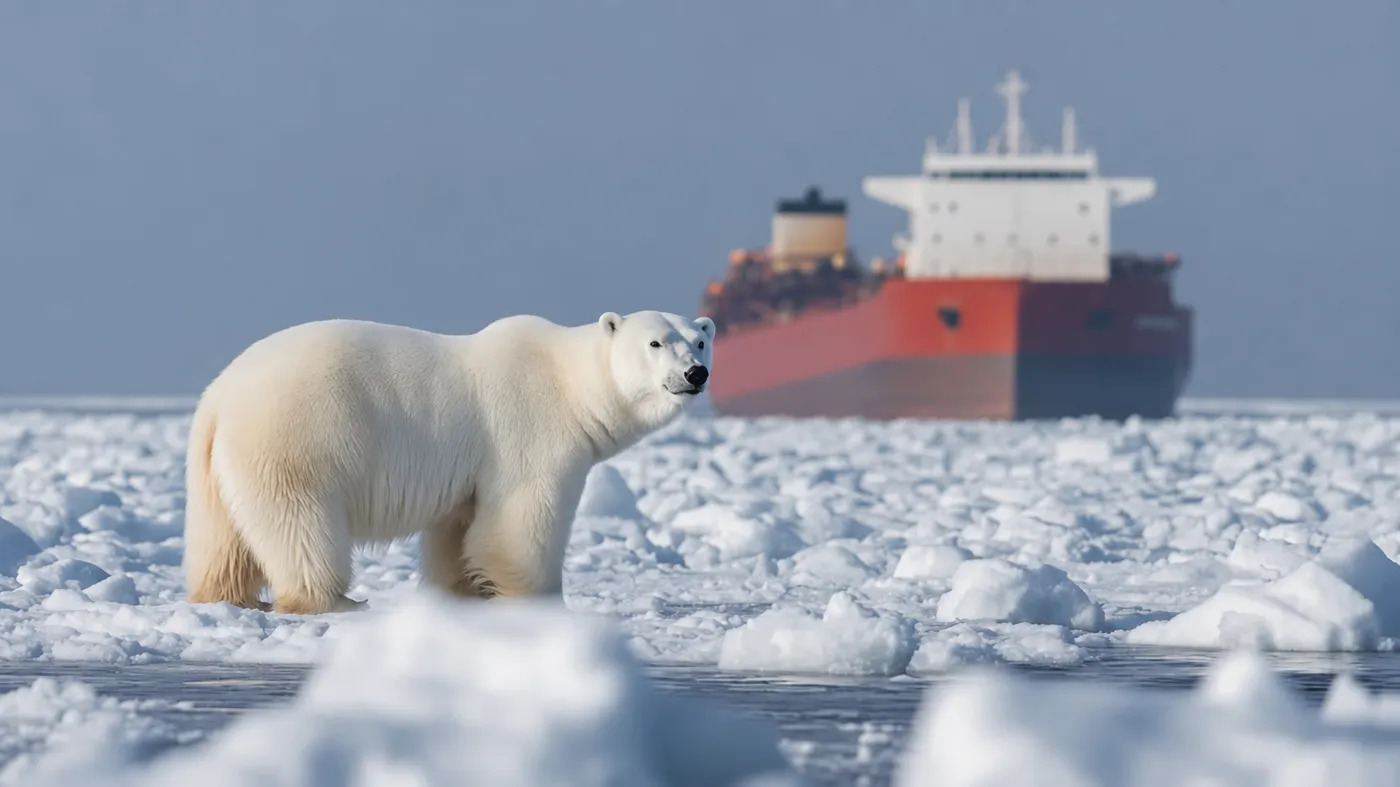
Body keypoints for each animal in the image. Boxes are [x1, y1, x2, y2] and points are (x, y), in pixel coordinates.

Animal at [182, 310, 714, 615]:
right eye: (655, 343)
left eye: (700, 339)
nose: (696, 373)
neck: (571, 383)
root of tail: (218, 397)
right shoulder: (529, 428)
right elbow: (521, 522)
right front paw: (540, 601)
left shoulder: (471, 470)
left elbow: (458, 530)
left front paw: (462, 594)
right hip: (298, 437)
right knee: (301, 524)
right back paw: (336, 599)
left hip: (217, 466)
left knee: (223, 539)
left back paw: (225, 596)